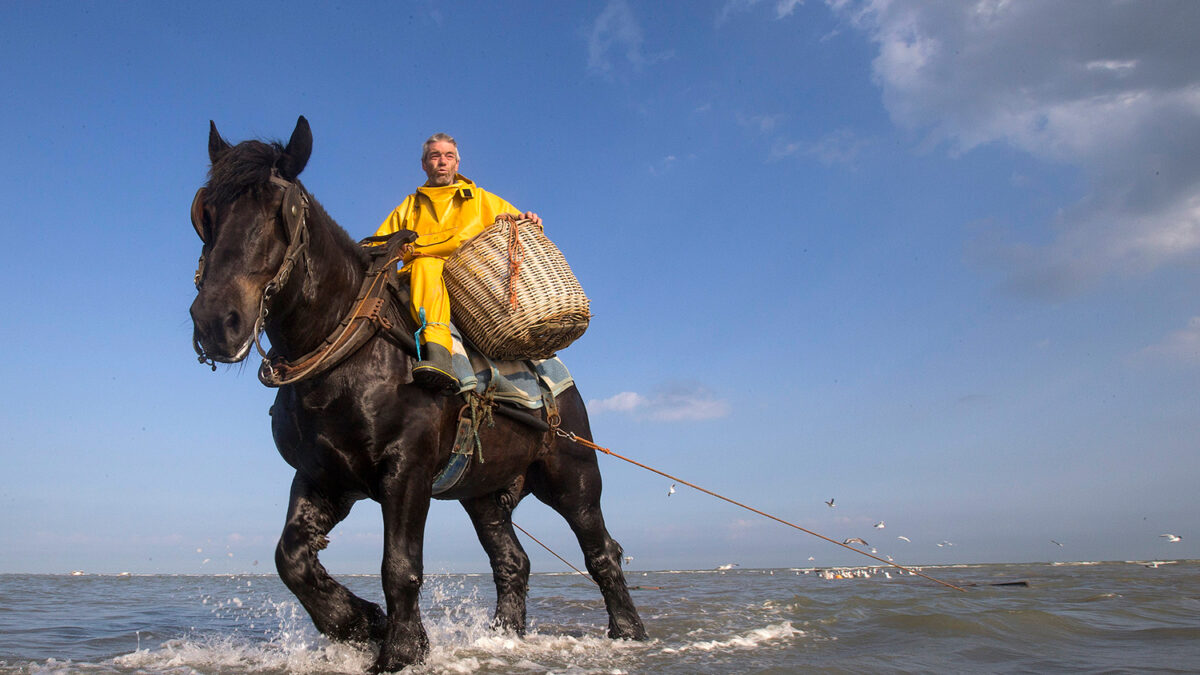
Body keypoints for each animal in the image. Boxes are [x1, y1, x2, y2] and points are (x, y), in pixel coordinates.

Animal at [189, 115, 648, 667]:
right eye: (206, 211)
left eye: (282, 211)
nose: (216, 321)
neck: (349, 352)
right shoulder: (324, 477)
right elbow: (291, 559)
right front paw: (357, 623)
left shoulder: (405, 472)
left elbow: (400, 567)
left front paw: (402, 649)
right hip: (484, 493)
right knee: (512, 561)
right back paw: (504, 636)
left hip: (572, 476)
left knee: (602, 552)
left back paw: (629, 631)